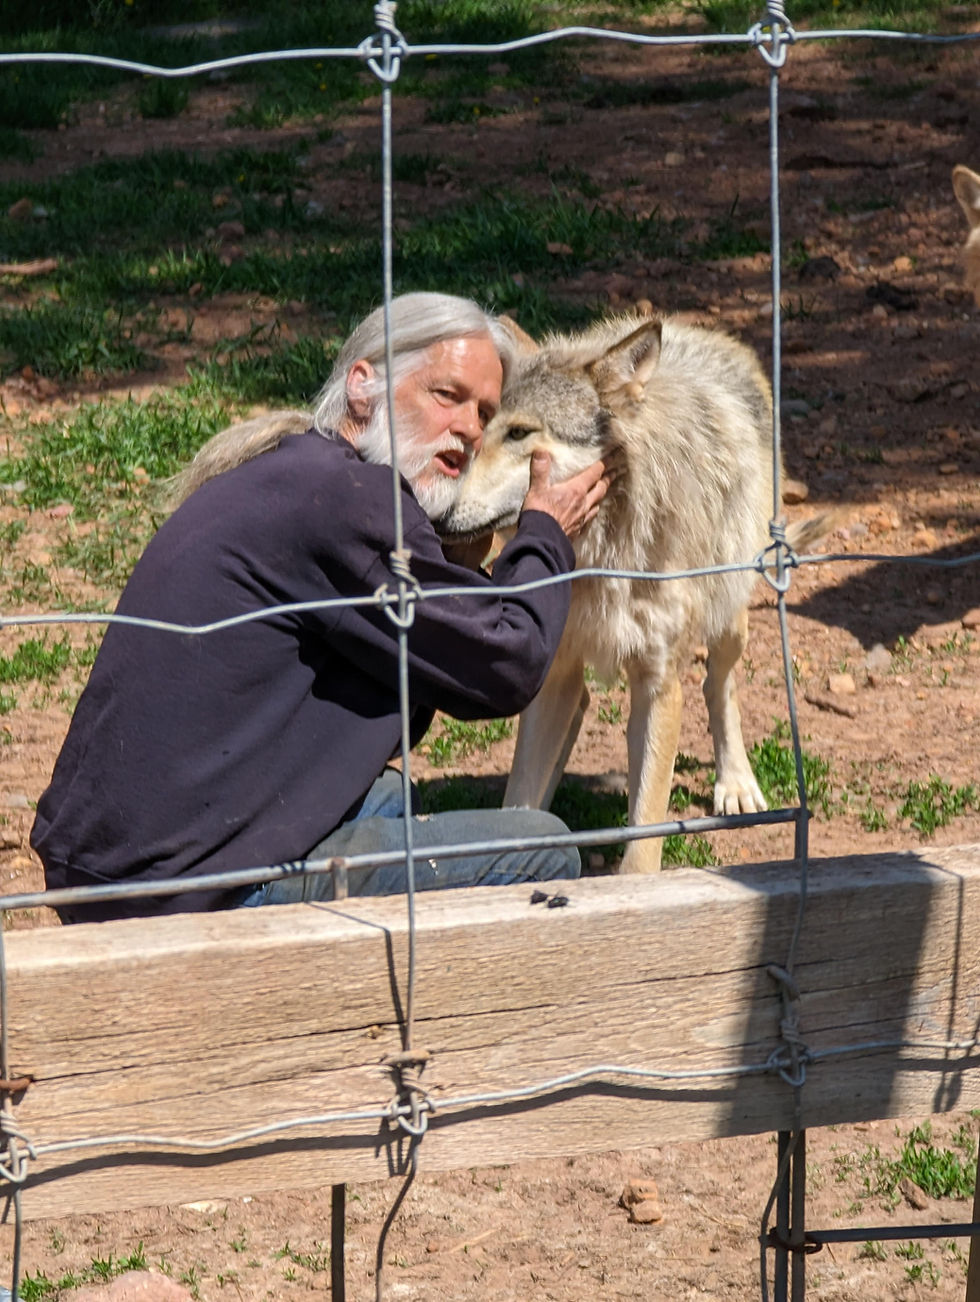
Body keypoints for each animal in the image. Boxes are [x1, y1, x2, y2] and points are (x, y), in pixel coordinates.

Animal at [437, 311, 831, 873]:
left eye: (519, 433)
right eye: (475, 430)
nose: (439, 517)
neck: (602, 552)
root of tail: (702, 332)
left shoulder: (659, 684)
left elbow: (646, 830)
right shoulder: (555, 668)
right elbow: (521, 800)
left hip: (730, 615)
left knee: (719, 684)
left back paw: (735, 783)